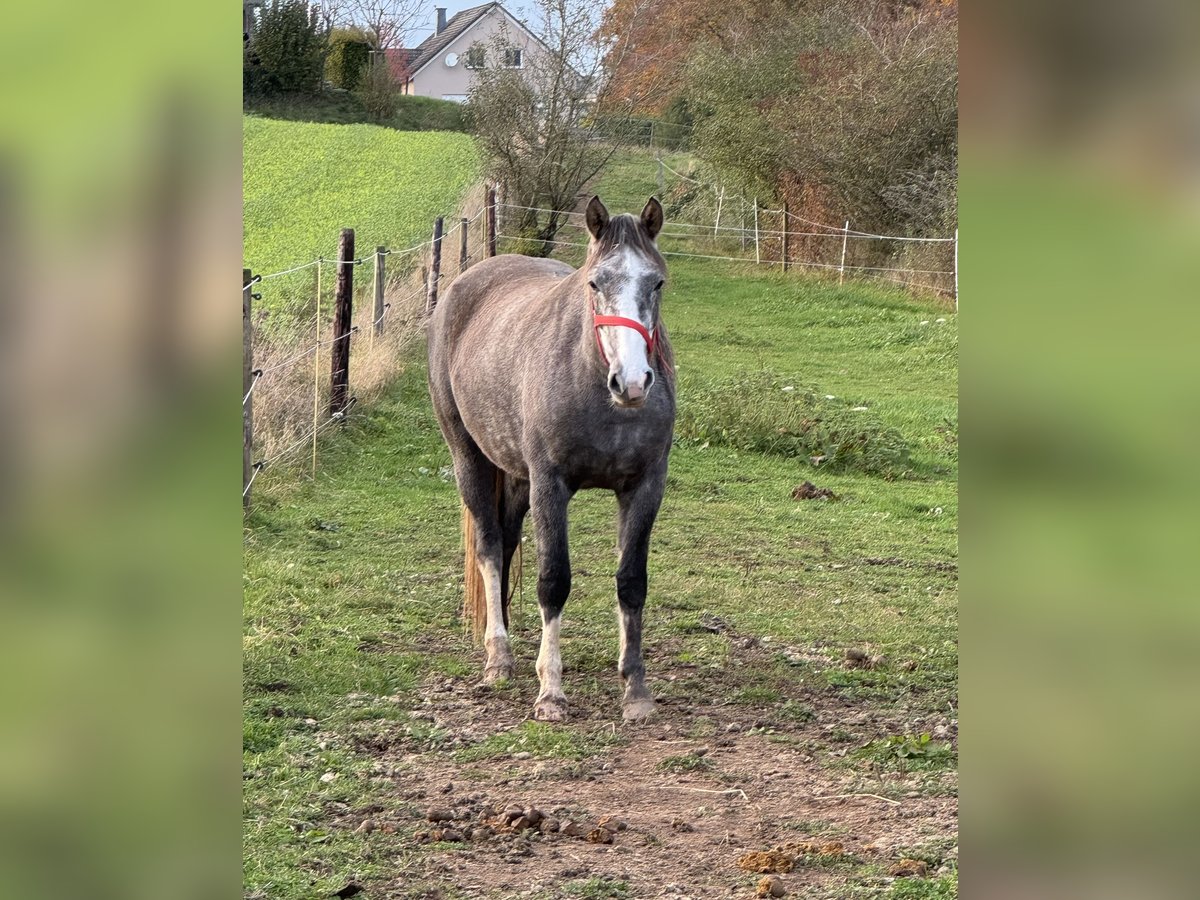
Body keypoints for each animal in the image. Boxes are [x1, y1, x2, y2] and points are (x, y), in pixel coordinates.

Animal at [429, 196, 676, 724]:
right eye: (595, 282)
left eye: (657, 282)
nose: (632, 382)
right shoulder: (551, 486)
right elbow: (554, 582)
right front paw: (551, 692)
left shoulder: (646, 486)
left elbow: (632, 582)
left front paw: (635, 689)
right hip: (470, 459)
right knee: (489, 547)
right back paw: (499, 657)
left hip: (517, 477)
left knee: (506, 541)